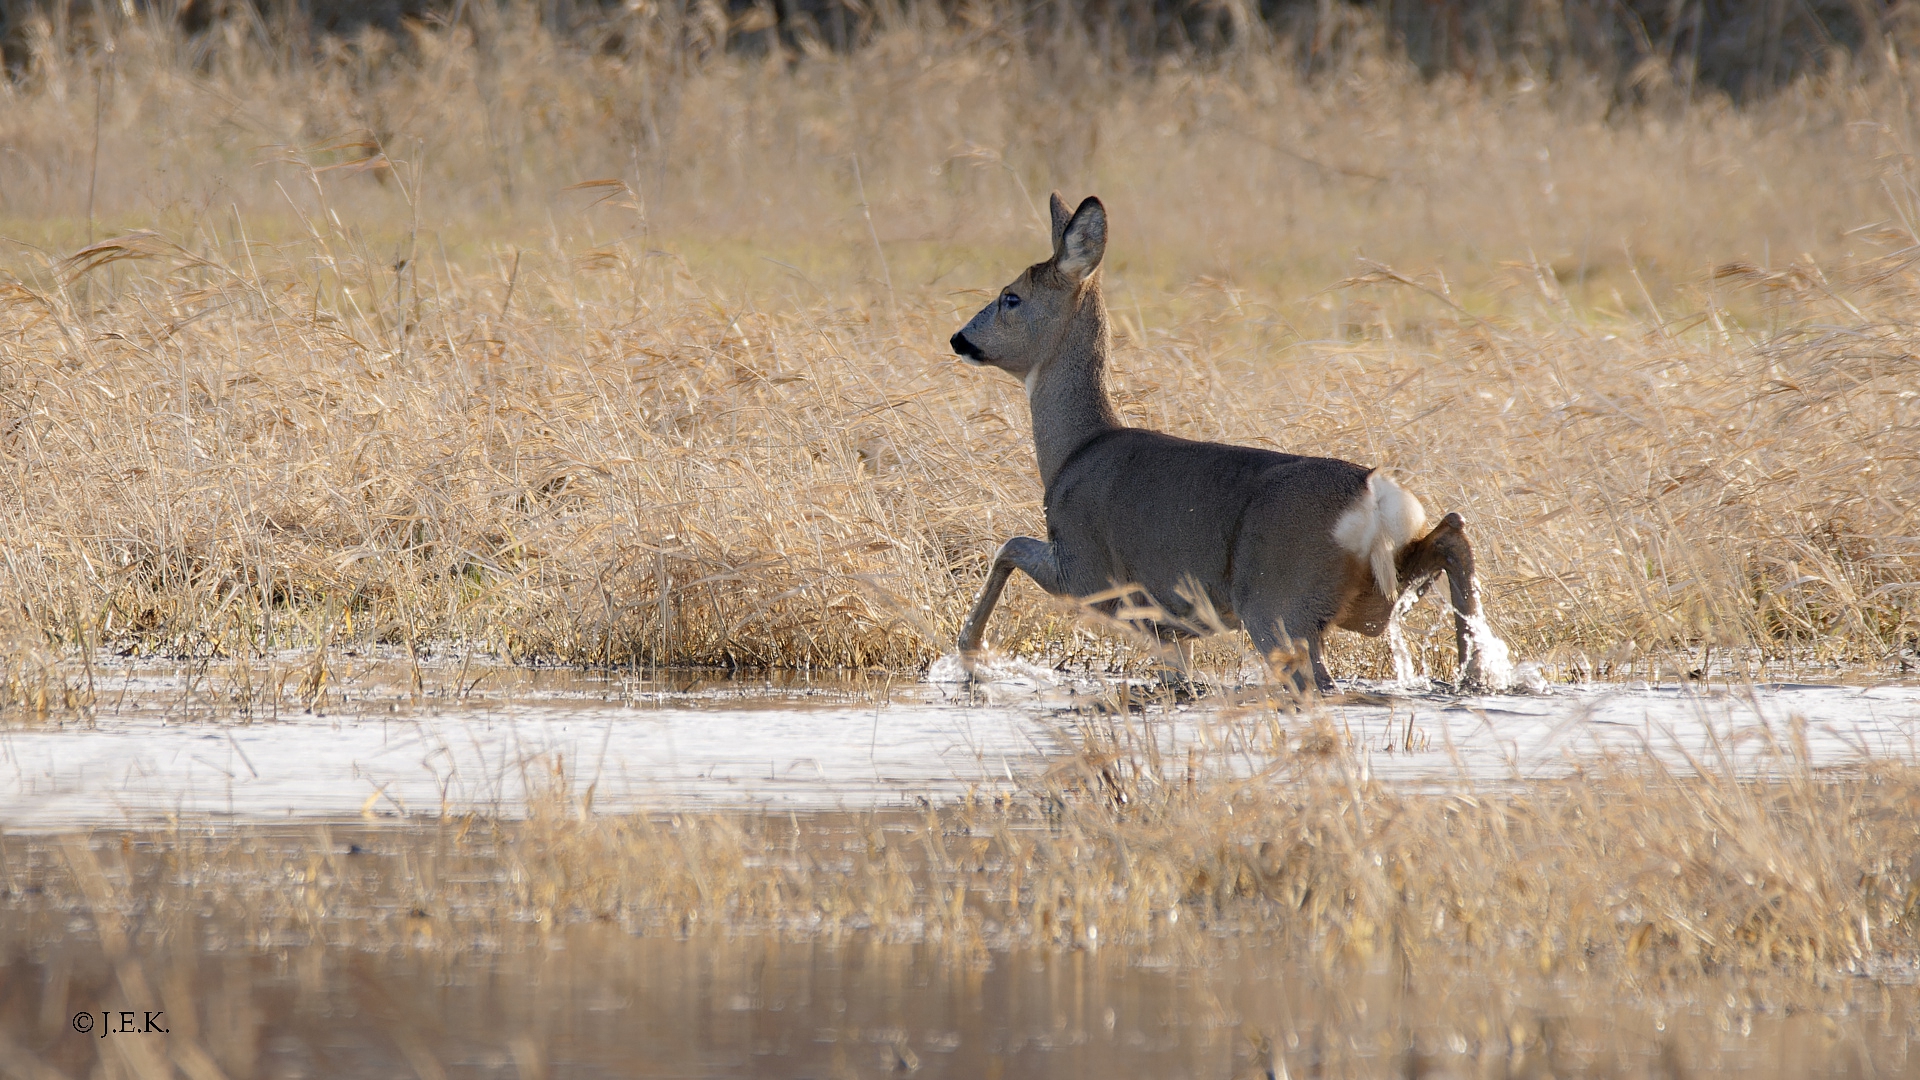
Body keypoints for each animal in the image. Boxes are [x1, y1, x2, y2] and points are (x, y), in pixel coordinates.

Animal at [952, 192, 1505, 687]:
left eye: (1010, 297)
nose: (959, 338)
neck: (1074, 452)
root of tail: (1373, 495)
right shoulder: (1168, 625)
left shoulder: (1086, 570)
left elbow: (1008, 546)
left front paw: (970, 649)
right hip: (1368, 593)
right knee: (1451, 531)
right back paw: (1475, 668)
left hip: (1277, 600)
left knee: (1316, 680)